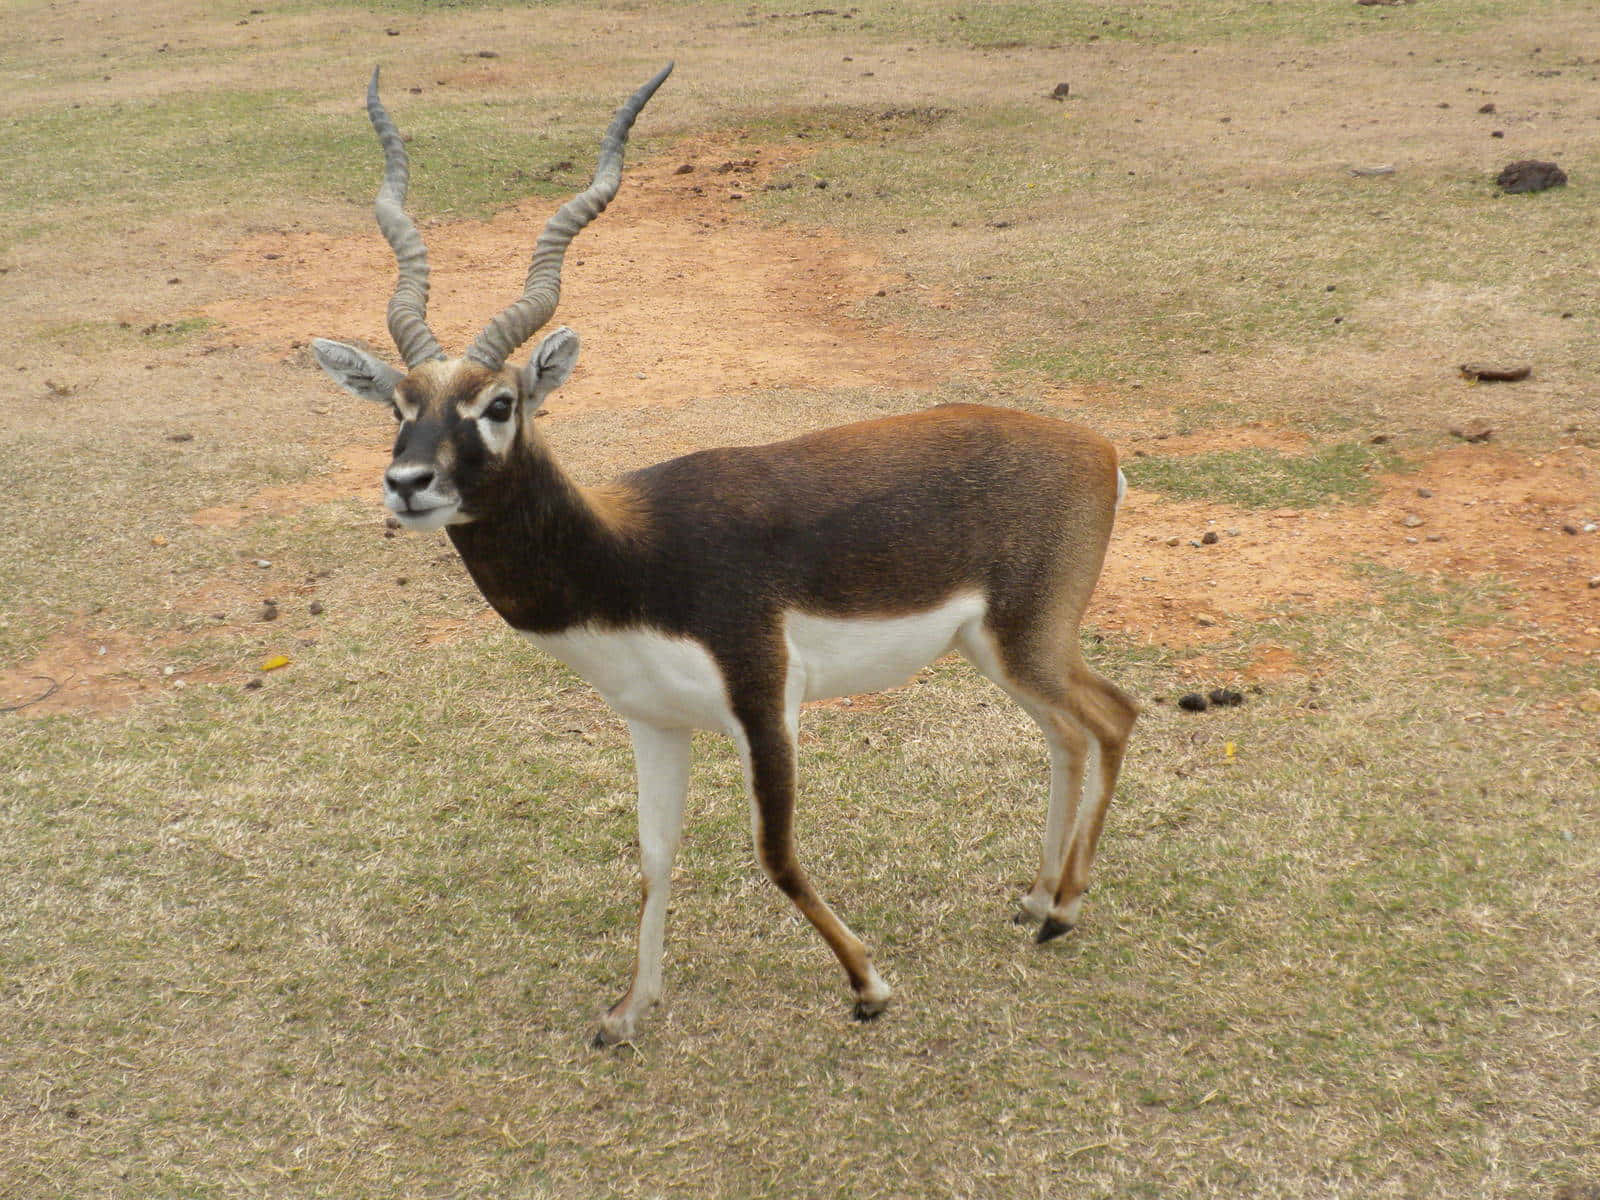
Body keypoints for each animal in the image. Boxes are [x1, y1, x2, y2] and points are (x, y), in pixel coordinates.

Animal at [312, 65, 1139, 1049]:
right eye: (399, 404)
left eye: (501, 404)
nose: (407, 483)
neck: (627, 560)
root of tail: (1097, 449)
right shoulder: (653, 720)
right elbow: (654, 857)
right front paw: (631, 1011)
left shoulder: (765, 700)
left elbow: (774, 853)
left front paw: (868, 986)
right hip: (993, 647)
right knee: (1068, 732)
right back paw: (1040, 900)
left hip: (1026, 638)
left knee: (1112, 716)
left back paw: (1064, 910)